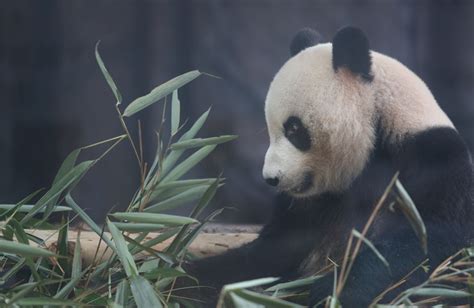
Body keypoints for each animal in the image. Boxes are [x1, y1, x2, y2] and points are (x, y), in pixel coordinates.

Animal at [186, 27, 474, 308]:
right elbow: (271, 251)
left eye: (294, 129)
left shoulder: (433, 162)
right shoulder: (313, 202)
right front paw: (193, 277)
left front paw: (334, 292)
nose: (271, 178)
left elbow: (428, 242)